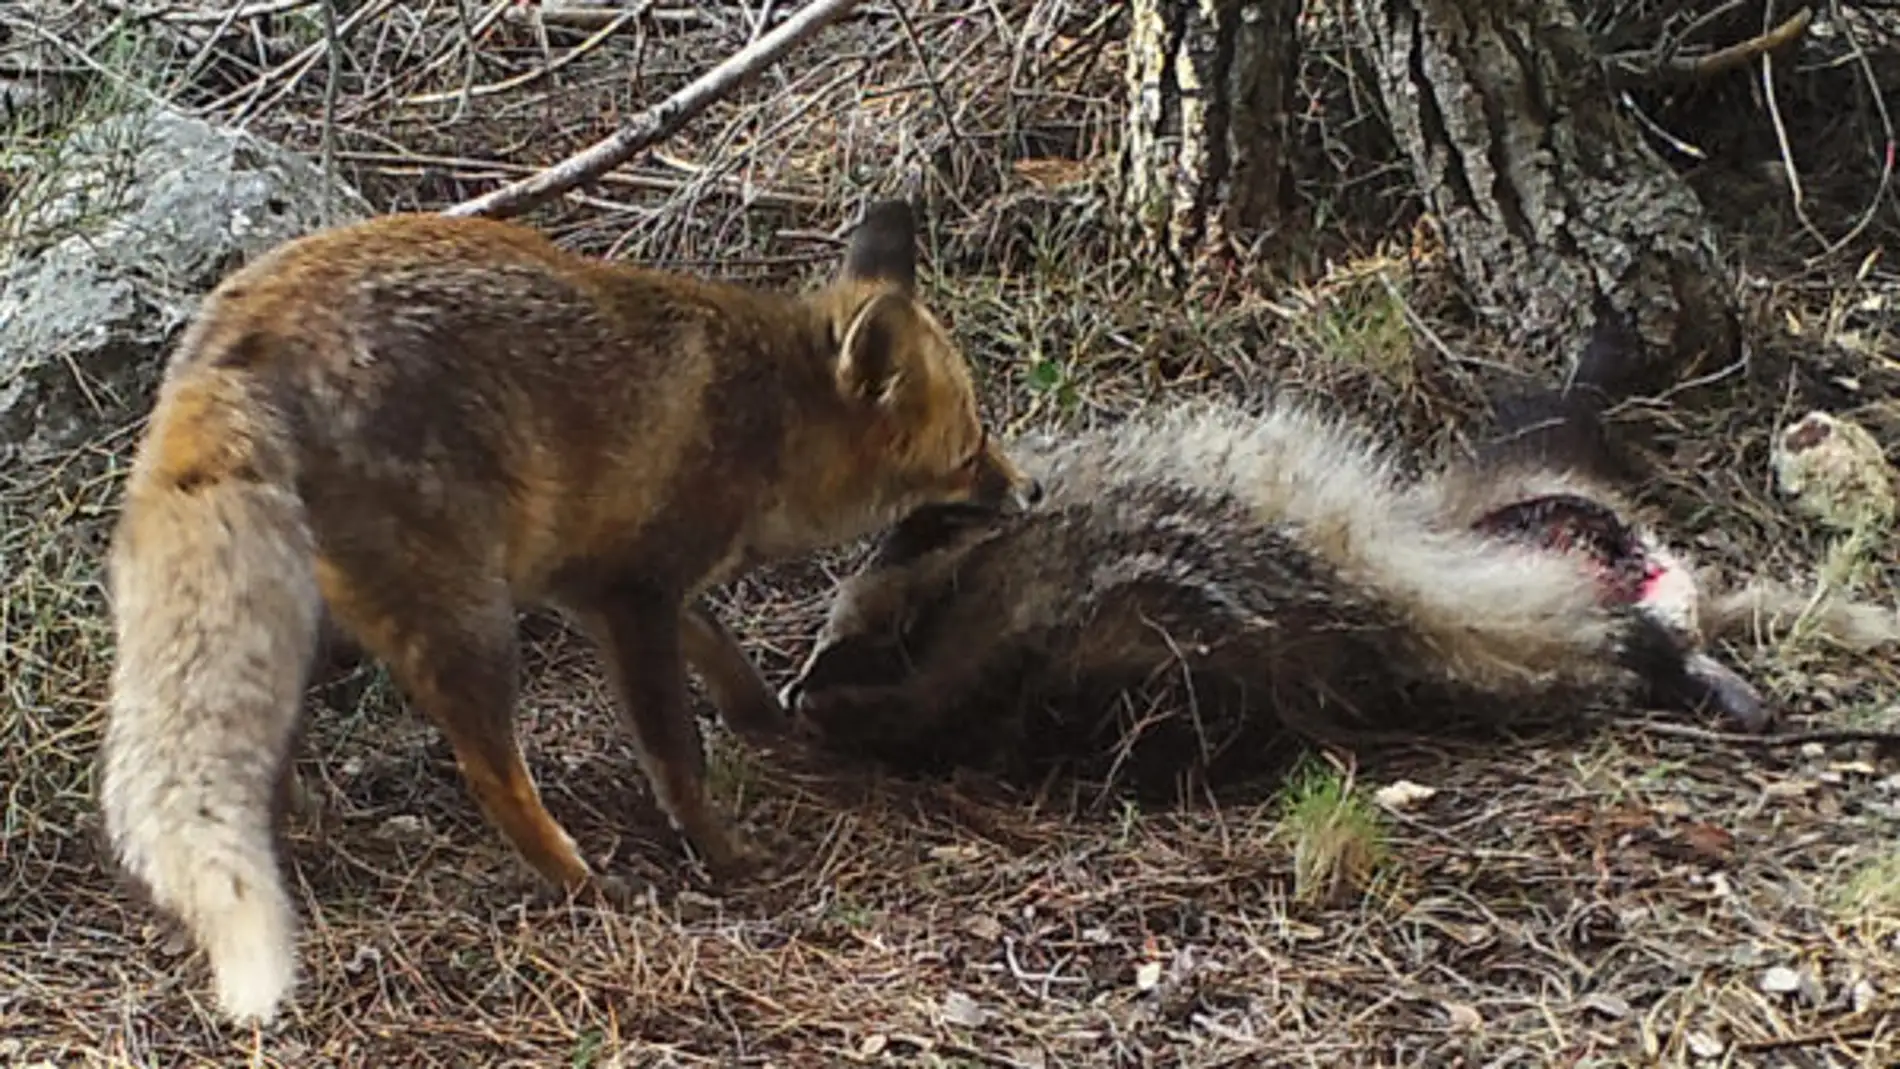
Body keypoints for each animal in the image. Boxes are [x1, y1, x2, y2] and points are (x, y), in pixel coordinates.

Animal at [90, 201, 1041, 1025]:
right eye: (970, 447)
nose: (1029, 489)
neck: (769, 422)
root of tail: (233, 338)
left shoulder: (604, 582)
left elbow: (723, 656)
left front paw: (770, 722)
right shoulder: (635, 592)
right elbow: (676, 754)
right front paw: (725, 852)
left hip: (316, 610)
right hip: (473, 622)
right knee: (492, 773)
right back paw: (579, 879)